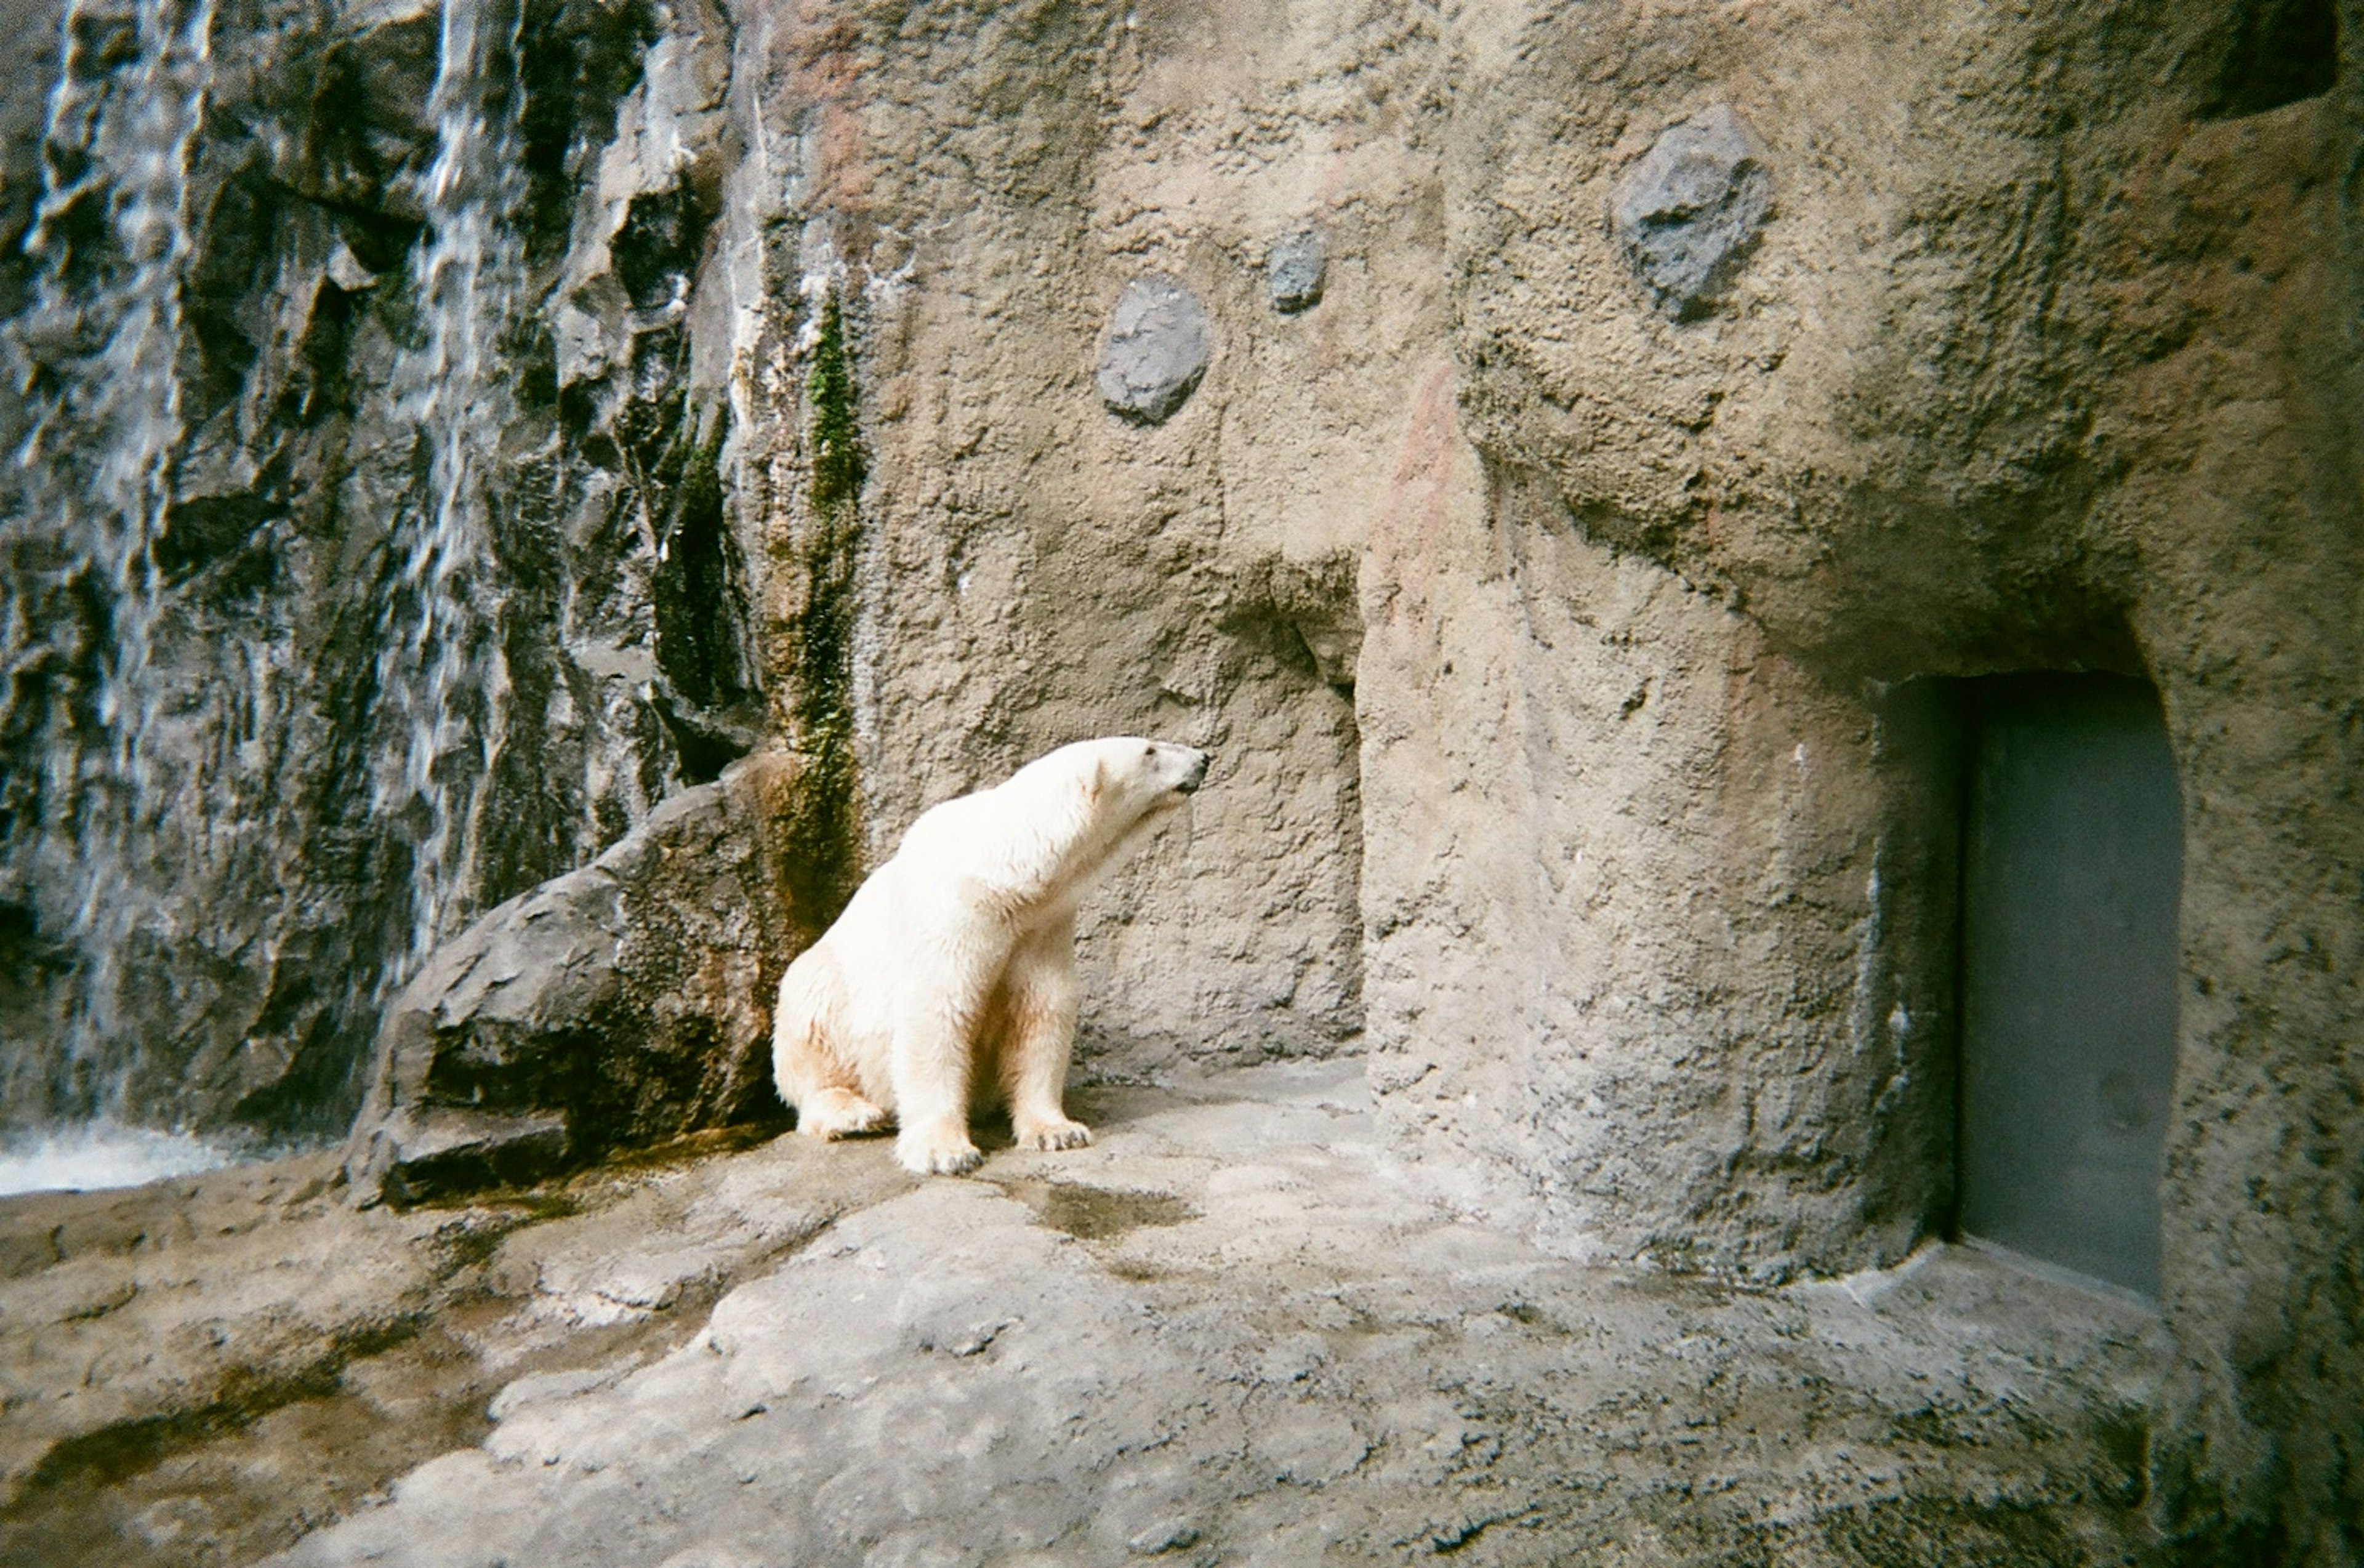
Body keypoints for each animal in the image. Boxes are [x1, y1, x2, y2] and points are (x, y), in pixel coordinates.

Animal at [775, 742, 1210, 1173]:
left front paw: (1058, 1132)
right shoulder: (954, 917)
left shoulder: (1042, 926)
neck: (1005, 880)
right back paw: (852, 1114)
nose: (1203, 758)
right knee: (811, 1021)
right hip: (824, 991)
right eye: (1149, 750)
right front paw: (945, 1152)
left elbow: (1042, 1010)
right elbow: (935, 1013)